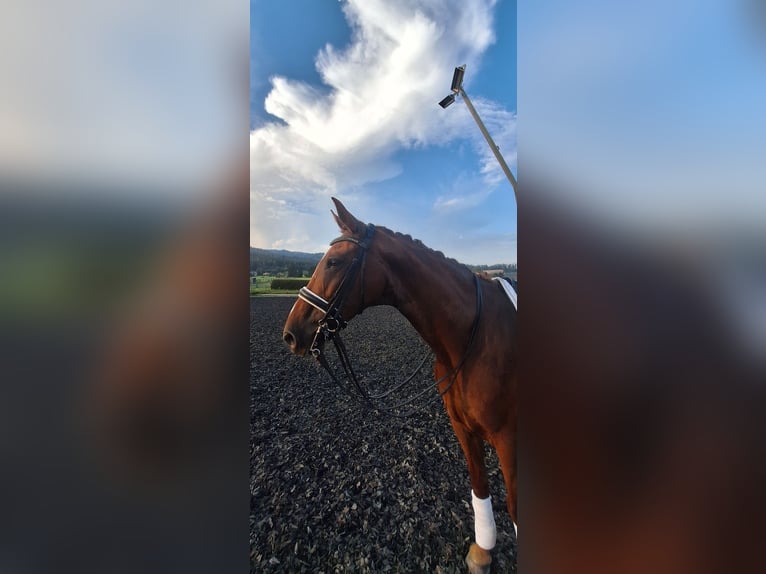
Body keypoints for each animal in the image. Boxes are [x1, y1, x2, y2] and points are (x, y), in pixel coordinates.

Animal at [284, 197, 520, 572]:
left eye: (334, 262)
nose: (291, 334)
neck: (472, 337)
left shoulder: (510, 439)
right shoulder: (464, 428)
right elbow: (480, 487)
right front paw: (483, 551)